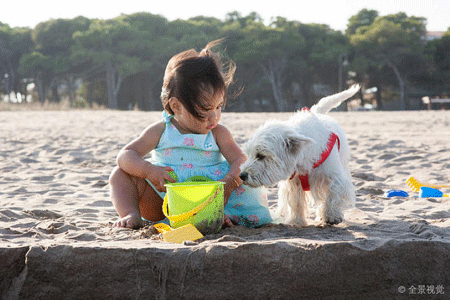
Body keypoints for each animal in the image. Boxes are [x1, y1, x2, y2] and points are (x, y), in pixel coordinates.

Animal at [239, 84, 358, 225]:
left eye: (261, 155)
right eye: (249, 154)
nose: (242, 175)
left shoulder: (334, 178)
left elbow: (333, 195)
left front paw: (331, 216)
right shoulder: (293, 183)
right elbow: (295, 202)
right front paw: (296, 221)